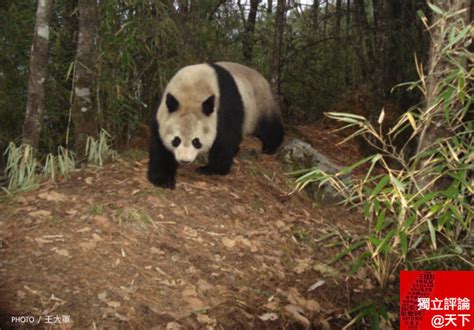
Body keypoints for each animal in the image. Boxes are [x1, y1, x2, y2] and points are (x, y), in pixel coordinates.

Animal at [146, 60, 284, 188]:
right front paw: (162, 179)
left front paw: (212, 169)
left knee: (268, 126)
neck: (192, 90)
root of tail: (261, 77)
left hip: (259, 104)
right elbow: (159, 146)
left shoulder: (224, 107)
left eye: (196, 141)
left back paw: (270, 147)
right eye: (176, 140)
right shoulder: (163, 113)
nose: (184, 160)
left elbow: (226, 139)